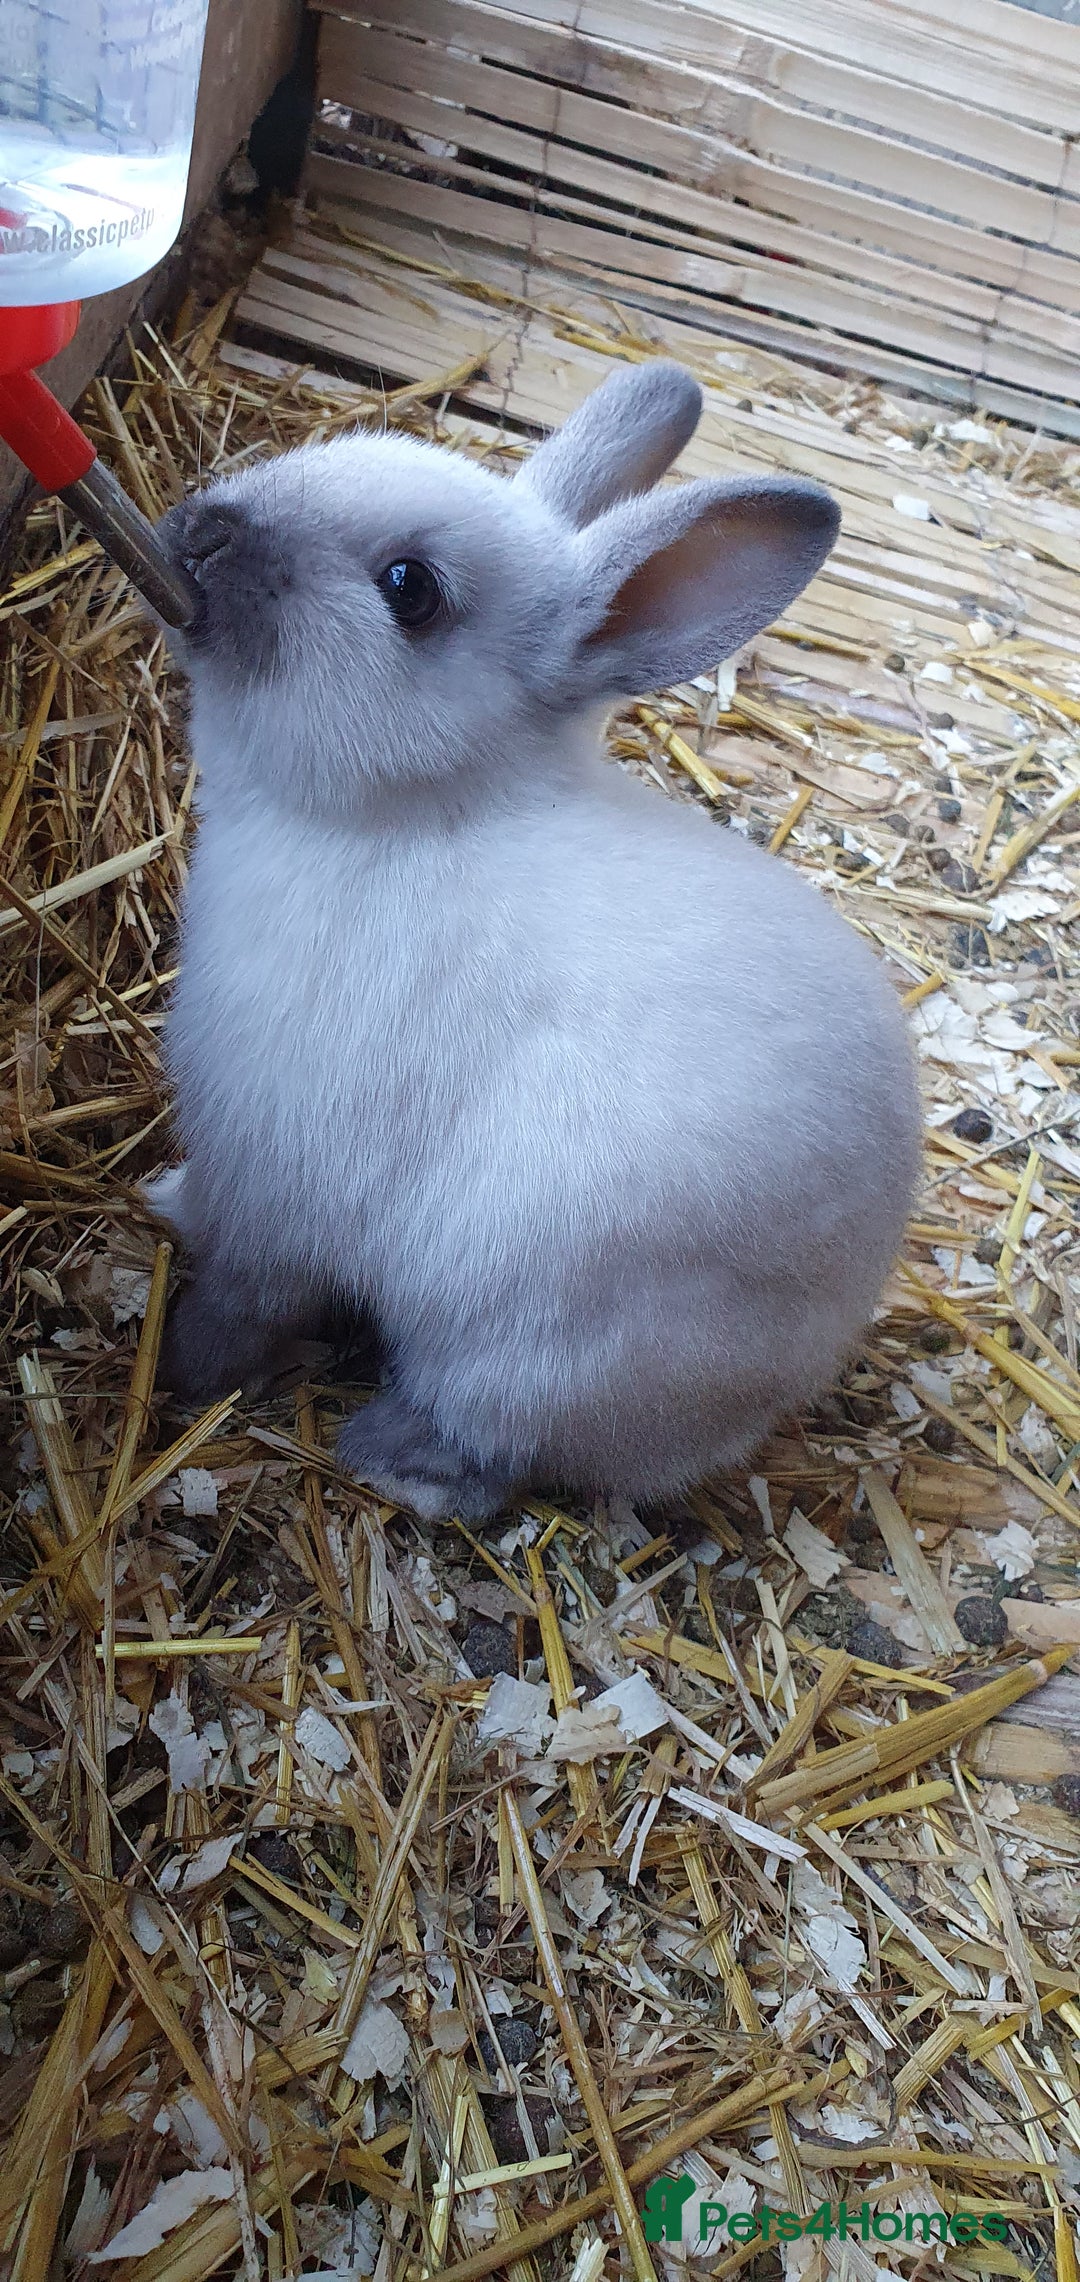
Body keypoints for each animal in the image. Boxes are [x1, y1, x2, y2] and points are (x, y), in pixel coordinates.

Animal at [150, 357, 921, 1519]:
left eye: (410, 588)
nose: (203, 530)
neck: (411, 816)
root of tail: (779, 1387)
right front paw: (159, 1202)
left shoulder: (277, 1181)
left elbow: (244, 1297)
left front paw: (183, 1374)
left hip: (523, 1343)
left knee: (499, 1447)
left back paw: (393, 1454)